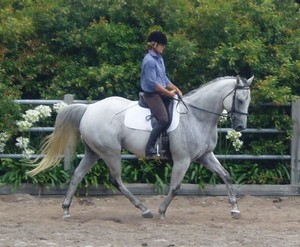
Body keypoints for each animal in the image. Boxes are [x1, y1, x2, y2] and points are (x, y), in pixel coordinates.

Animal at [28, 75, 253, 220]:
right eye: (241, 100)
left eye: (248, 101)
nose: (240, 127)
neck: (197, 116)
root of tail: (89, 109)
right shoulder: (183, 159)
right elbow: (175, 187)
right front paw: (162, 211)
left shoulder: (205, 155)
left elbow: (226, 176)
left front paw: (235, 209)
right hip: (111, 153)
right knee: (116, 181)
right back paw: (145, 210)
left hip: (93, 152)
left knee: (77, 175)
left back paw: (66, 209)